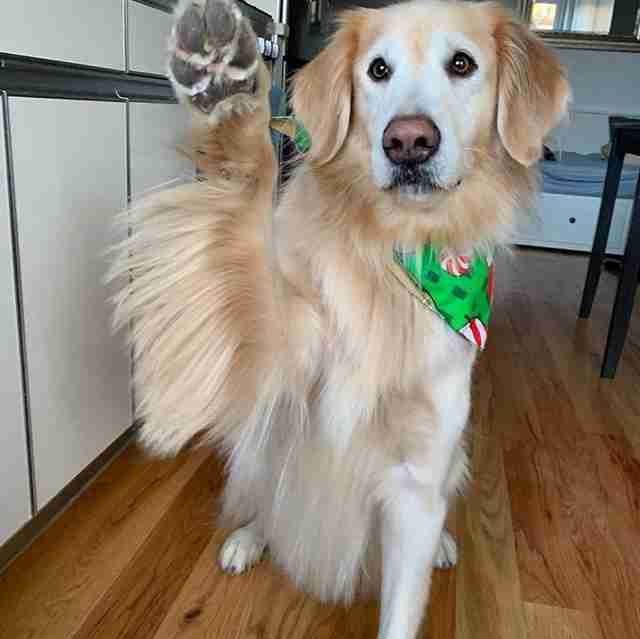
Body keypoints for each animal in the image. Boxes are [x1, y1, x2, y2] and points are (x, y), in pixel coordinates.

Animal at [111, 2, 568, 636]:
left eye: (462, 64)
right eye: (378, 69)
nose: (408, 142)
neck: (400, 254)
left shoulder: (417, 481)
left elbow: (403, 603)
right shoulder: (281, 358)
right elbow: (245, 245)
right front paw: (223, 82)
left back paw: (444, 544)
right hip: (259, 443)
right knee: (268, 496)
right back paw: (250, 538)